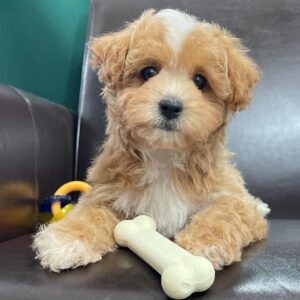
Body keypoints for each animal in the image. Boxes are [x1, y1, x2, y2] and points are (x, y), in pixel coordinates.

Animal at [32, 8, 270, 272]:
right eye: (148, 72)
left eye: (200, 80)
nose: (171, 106)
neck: (164, 154)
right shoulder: (106, 191)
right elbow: (91, 212)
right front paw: (67, 239)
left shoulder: (226, 193)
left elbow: (228, 209)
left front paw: (207, 242)